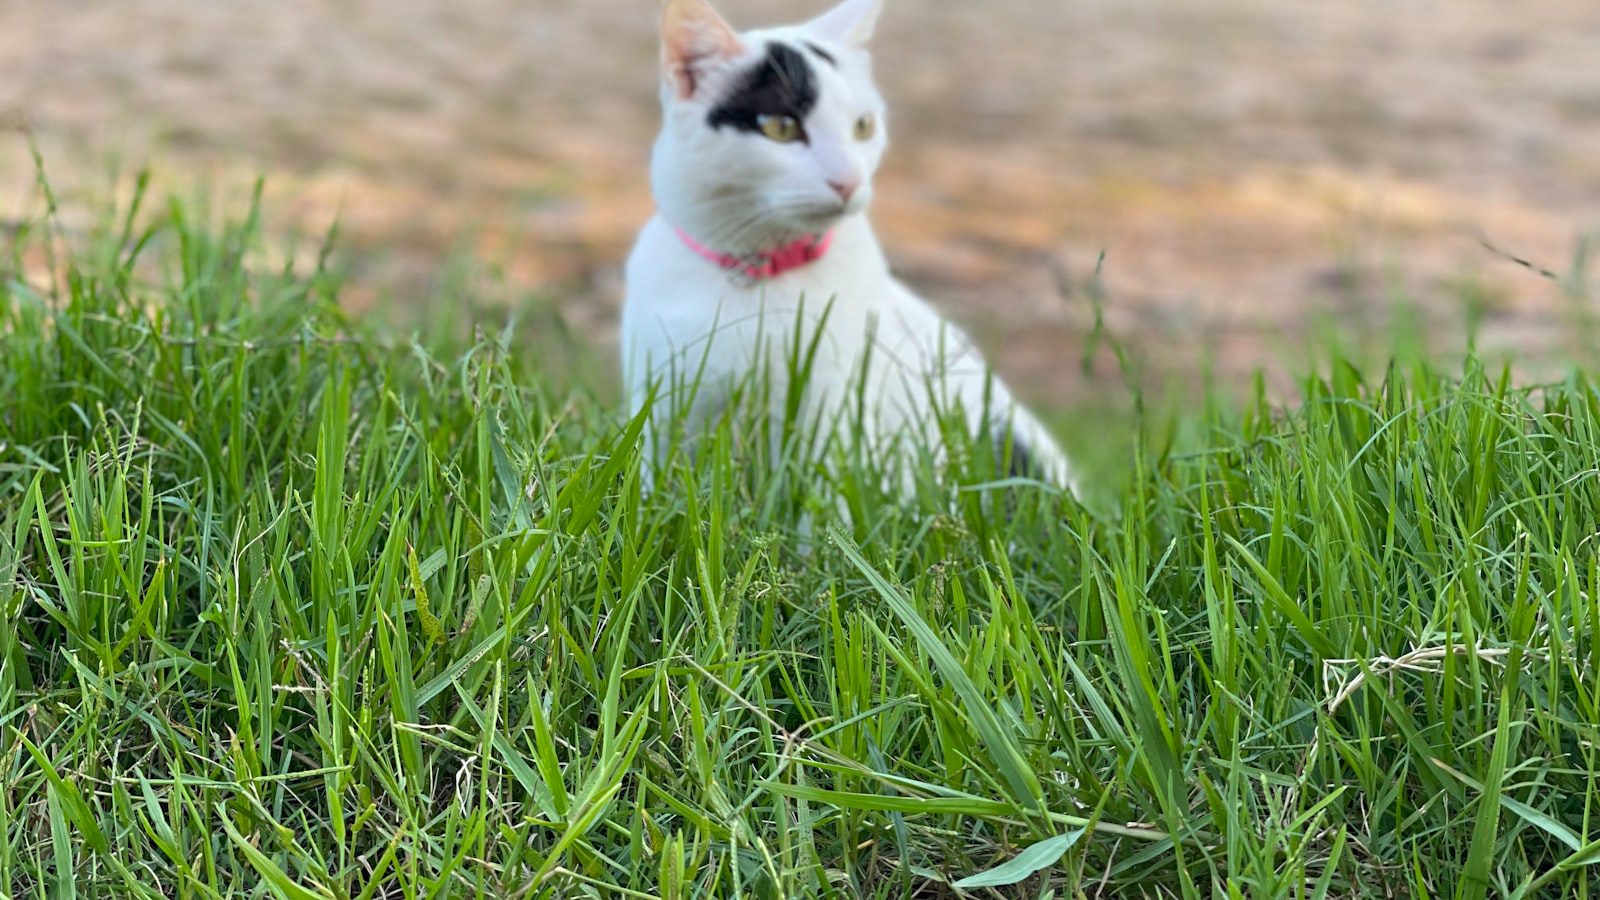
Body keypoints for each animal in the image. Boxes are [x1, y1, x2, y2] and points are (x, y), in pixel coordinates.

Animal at [624, 0, 1075, 493]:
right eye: (781, 127)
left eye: (863, 126)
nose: (849, 180)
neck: (760, 270)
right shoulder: (664, 396)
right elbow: (656, 483)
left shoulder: (832, 406)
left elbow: (825, 490)